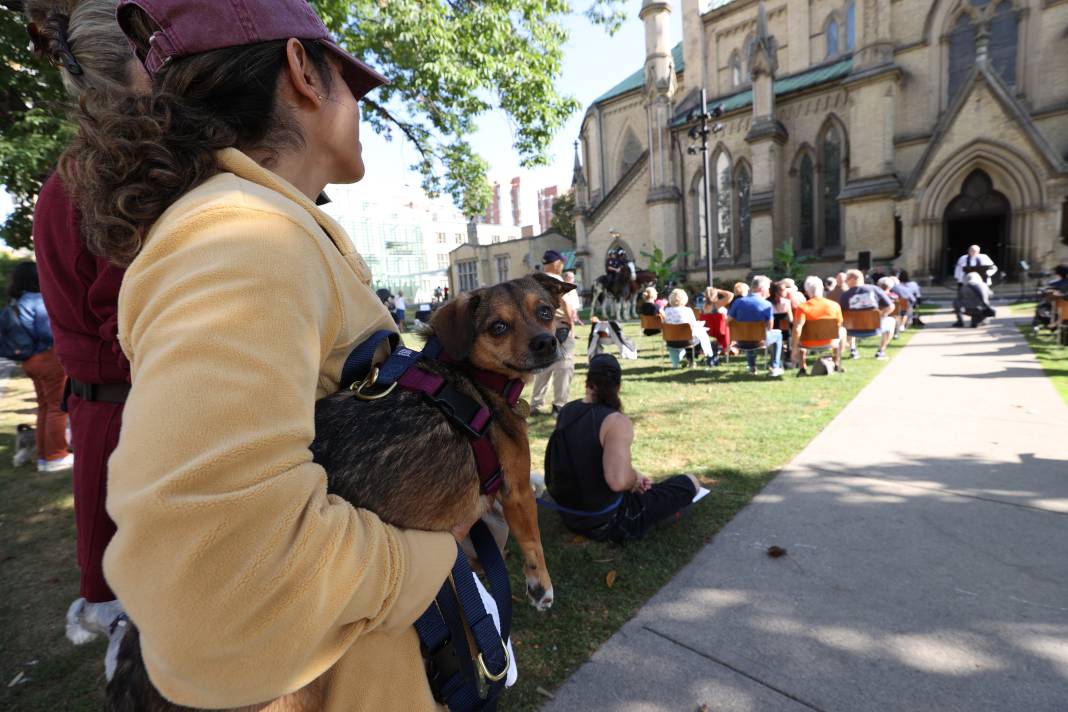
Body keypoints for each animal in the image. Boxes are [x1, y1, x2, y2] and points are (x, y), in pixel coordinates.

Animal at [106, 273, 576, 712]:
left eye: (544, 311)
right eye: (498, 327)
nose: (547, 341)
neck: (471, 376)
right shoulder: (515, 489)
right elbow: (532, 536)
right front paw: (541, 586)